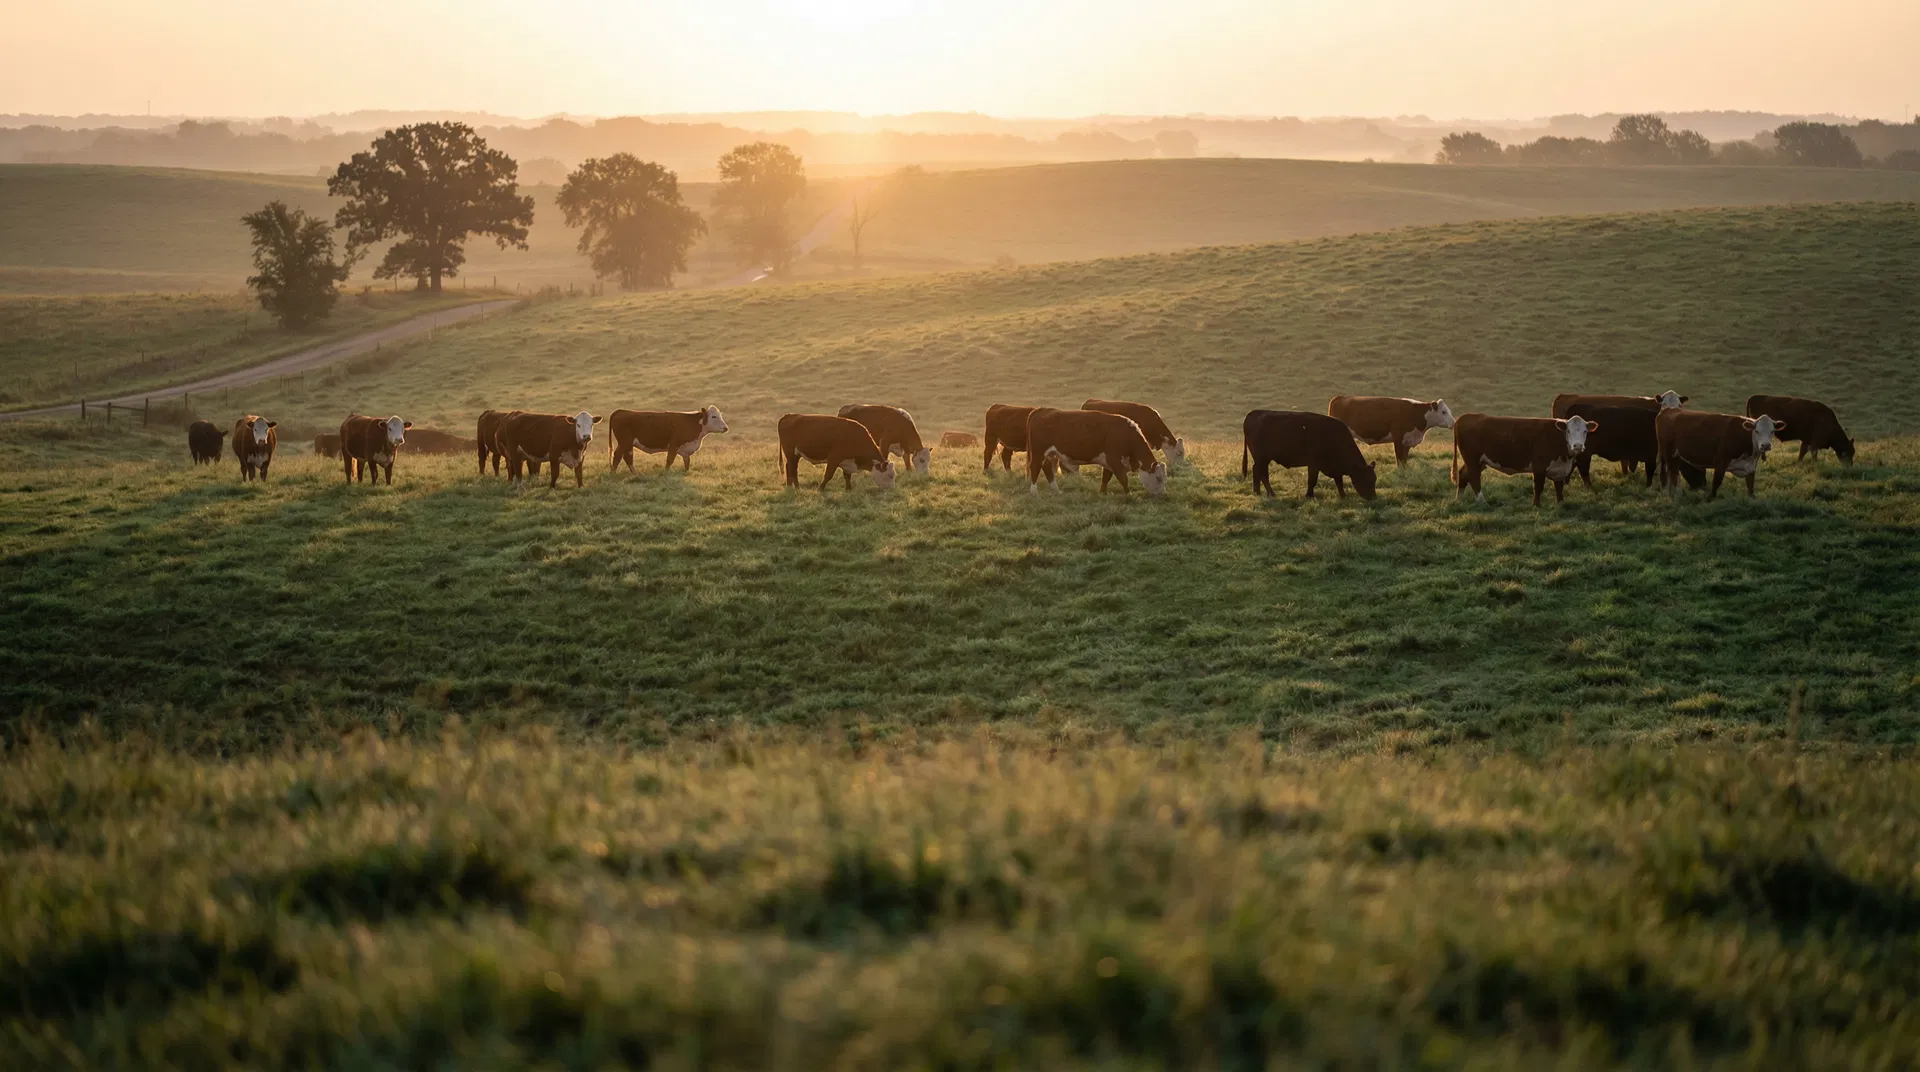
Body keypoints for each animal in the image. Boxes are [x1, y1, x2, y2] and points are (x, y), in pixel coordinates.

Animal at [1025, 408, 1168, 497]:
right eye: (1158, 478)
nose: (1162, 495)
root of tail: (1041, 410)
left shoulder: (1109, 462)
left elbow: (1106, 477)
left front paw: (1103, 493)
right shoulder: (1114, 460)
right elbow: (1123, 478)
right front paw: (1129, 494)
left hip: (1050, 454)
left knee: (1047, 468)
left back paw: (1056, 490)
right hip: (1038, 453)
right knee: (1035, 468)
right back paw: (1034, 493)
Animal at [1242, 410, 1378, 500]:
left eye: (1374, 480)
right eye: (1366, 480)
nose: (1373, 498)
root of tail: (1254, 413)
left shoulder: (1334, 467)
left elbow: (1339, 481)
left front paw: (1343, 495)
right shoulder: (1314, 464)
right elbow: (1312, 480)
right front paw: (1309, 495)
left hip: (1261, 459)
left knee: (1256, 470)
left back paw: (1257, 492)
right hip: (1262, 458)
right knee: (1262, 474)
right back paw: (1271, 494)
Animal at [1326, 396, 1456, 466]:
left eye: (1449, 411)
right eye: (1443, 412)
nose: (1454, 423)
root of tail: (1340, 397)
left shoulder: (1408, 440)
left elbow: (1404, 460)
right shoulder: (1398, 439)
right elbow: (1399, 459)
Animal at [1451, 413, 1596, 505]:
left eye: (1585, 431)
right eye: (1568, 431)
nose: (1578, 445)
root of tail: (1467, 416)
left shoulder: (1559, 469)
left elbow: (1559, 488)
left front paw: (1561, 504)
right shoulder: (1539, 466)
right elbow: (1538, 487)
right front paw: (1536, 505)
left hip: (1478, 461)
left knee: (1463, 475)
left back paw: (1459, 500)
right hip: (1472, 458)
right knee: (1474, 477)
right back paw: (1482, 502)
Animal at [1655, 409, 1784, 499]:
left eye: (1772, 431)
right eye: (1756, 431)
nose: (1765, 445)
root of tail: (1669, 409)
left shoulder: (1750, 468)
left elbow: (1750, 487)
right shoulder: (1720, 463)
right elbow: (1716, 485)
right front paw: (1710, 499)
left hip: (1675, 456)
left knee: (1670, 473)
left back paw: (1671, 494)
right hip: (1670, 454)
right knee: (1673, 474)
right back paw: (1677, 495)